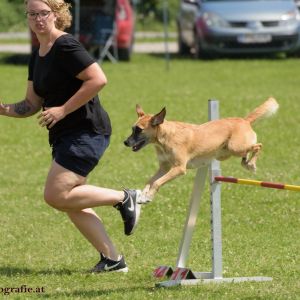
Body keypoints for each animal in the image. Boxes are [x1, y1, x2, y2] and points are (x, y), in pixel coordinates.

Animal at [123, 97, 278, 203]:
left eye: (139, 130)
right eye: (132, 128)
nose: (125, 142)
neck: (165, 138)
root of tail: (244, 120)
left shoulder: (179, 168)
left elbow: (156, 182)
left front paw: (148, 196)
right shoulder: (164, 168)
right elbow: (150, 181)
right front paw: (143, 196)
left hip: (235, 147)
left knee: (258, 145)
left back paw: (251, 164)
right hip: (226, 152)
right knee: (248, 151)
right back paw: (246, 162)